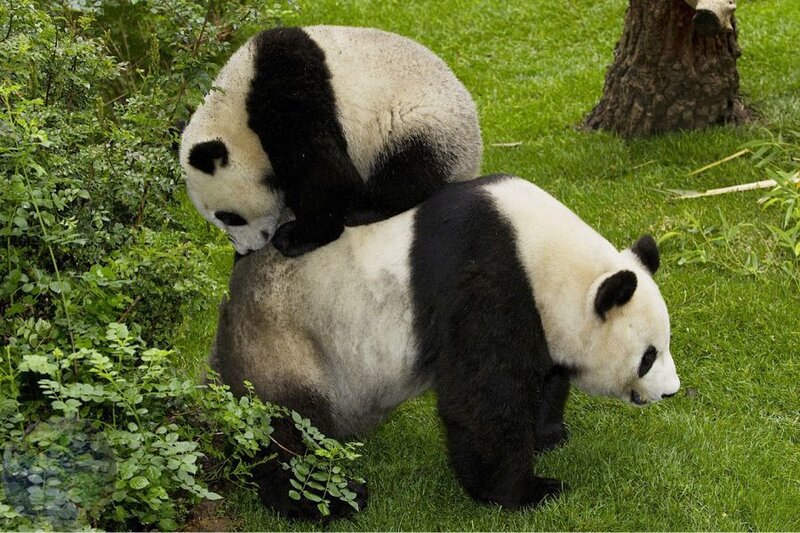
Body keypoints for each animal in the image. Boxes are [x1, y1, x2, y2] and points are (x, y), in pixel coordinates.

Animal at [179, 25, 482, 258]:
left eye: (228, 216)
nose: (245, 250)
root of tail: (473, 162)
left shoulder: (287, 91)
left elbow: (322, 172)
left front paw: (297, 236)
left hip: (421, 124)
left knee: (409, 169)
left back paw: (365, 209)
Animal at [210, 175, 681, 517]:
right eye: (648, 356)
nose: (670, 391)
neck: (544, 255)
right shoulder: (483, 276)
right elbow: (482, 398)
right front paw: (529, 491)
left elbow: (541, 374)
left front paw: (548, 434)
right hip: (288, 345)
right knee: (285, 430)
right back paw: (329, 500)